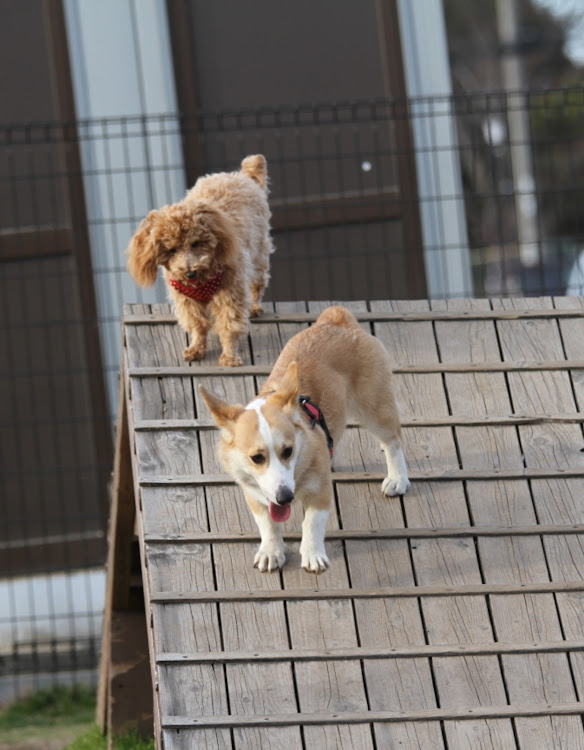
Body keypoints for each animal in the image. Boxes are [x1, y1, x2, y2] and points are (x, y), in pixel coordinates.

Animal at [201, 306, 410, 576]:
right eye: (256, 458)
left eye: (288, 451)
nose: (285, 498)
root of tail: (337, 318)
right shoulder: (255, 495)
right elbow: (267, 524)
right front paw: (271, 552)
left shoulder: (320, 492)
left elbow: (311, 523)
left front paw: (313, 556)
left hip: (375, 409)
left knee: (393, 441)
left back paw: (397, 479)